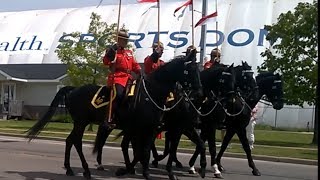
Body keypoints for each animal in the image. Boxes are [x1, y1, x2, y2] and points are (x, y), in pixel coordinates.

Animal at [26, 49, 202, 180]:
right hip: (81, 122)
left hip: (81, 122)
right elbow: (142, 151)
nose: (199, 91)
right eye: (189, 70)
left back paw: (70, 168)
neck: (152, 94)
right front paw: (135, 170)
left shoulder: (151, 128)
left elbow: (145, 150)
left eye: (198, 70)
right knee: (77, 142)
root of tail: (73, 89)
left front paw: (143, 170)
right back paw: (86, 170)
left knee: (70, 140)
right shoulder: (144, 128)